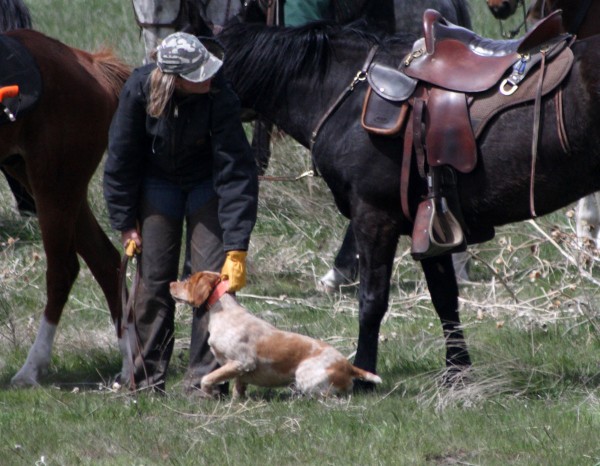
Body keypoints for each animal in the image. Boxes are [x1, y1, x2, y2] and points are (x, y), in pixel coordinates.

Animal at [0, 30, 131, 386]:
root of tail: (90, 64)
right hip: (53, 185)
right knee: (106, 262)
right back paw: (130, 363)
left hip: (54, 185)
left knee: (63, 270)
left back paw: (31, 368)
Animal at [169, 272, 384, 398]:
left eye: (187, 281)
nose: (170, 283)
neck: (224, 312)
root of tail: (348, 366)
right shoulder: (240, 370)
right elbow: (238, 388)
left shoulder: (242, 362)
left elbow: (207, 378)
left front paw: (207, 393)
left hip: (304, 375)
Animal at [219, 20, 600, 380]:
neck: (346, 95)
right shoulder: (432, 223)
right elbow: (445, 299)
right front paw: (457, 374)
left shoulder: (374, 217)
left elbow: (372, 300)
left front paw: (363, 373)